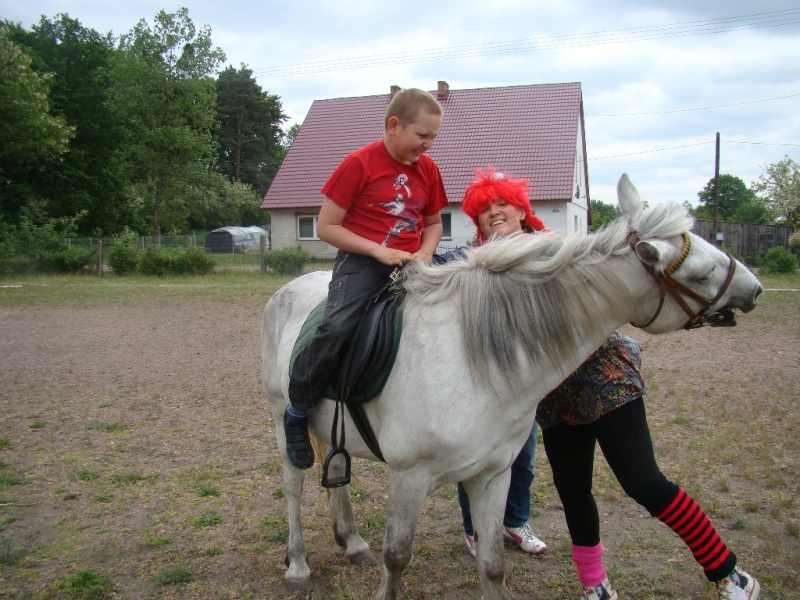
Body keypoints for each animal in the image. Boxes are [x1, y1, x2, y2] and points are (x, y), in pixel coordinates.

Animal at [260, 173, 760, 600]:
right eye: (699, 273)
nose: (753, 290)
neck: (471, 358)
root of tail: (288, 289)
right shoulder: (408, 477)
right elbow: (397, 559)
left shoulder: (493, 474)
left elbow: (493, 563)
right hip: (284, 422)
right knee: (293, 485)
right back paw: (298, 566)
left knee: (335, 475)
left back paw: (353, 542)